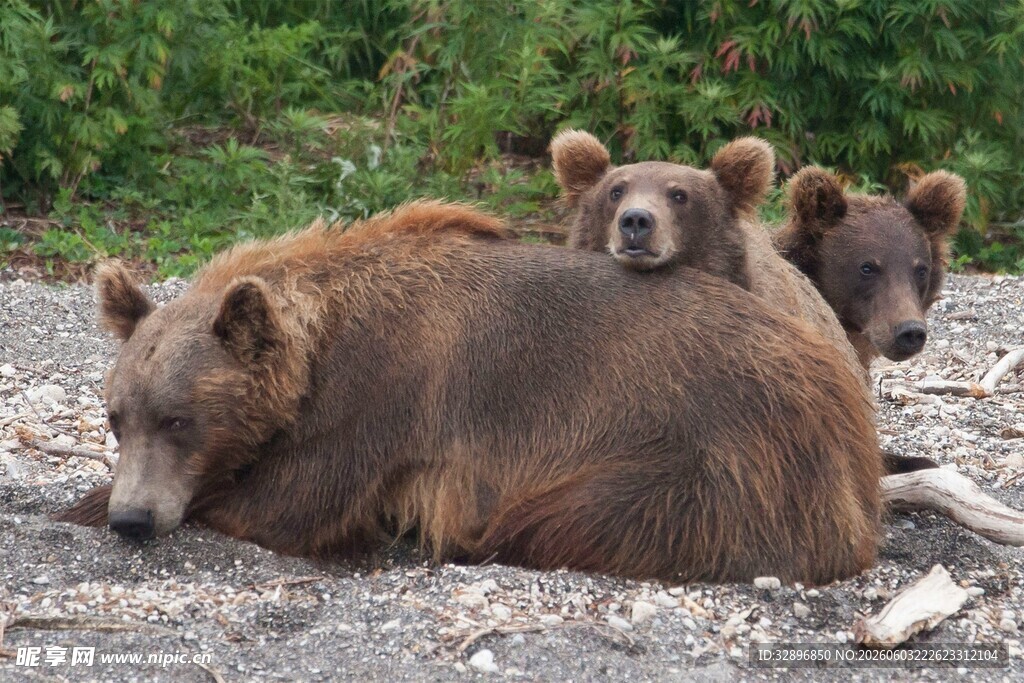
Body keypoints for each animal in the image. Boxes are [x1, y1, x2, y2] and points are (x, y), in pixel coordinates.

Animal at [57, 200, 882, 585]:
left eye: (179, 418)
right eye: (116, 416)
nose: (134, 517)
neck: (319, 347)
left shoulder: (383, 394)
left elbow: (291, 501)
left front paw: (94, 503)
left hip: (708, 447)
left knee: (566, 515)